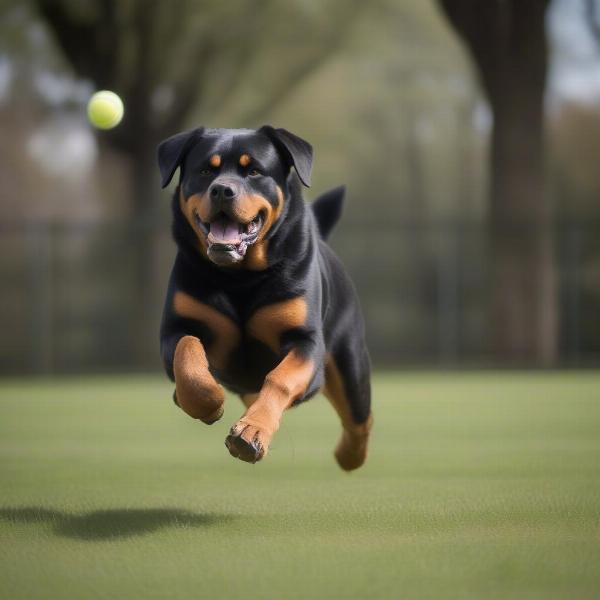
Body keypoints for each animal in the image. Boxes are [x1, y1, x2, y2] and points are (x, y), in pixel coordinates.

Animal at [156, 126, 370, 472]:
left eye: (254, 171)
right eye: (205, 171)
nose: (222, 190)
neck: (240, 277)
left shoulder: (305, 341)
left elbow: (280, 378)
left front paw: (252, 431)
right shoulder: (177, 327)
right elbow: (188, 355)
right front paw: (208, 401)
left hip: (350, 364)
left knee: (359, 418)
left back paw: (349, 456)